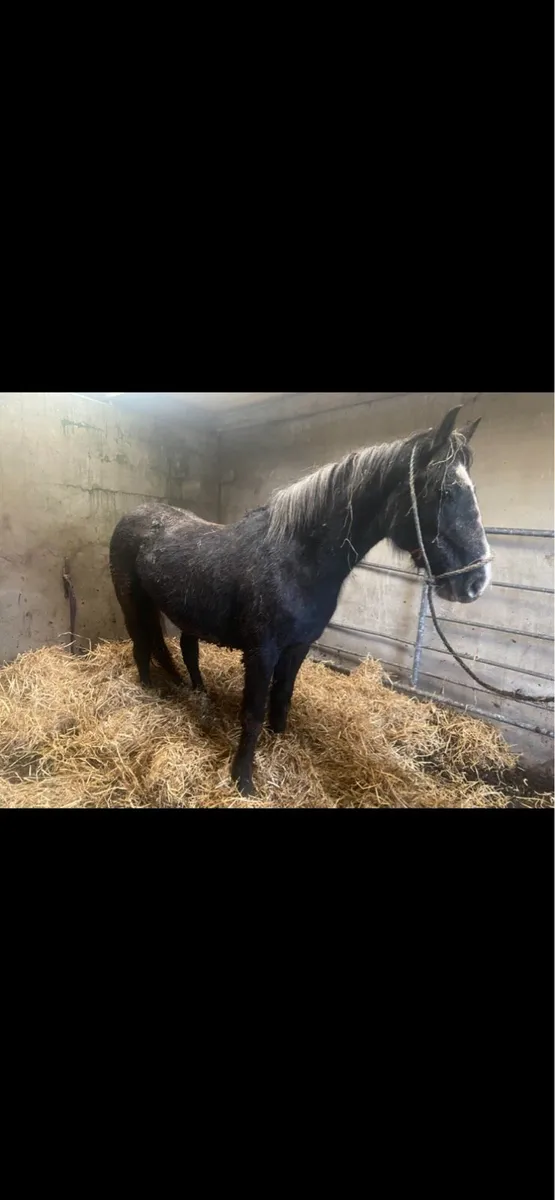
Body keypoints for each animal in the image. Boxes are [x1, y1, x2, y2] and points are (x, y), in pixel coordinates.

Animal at [109, 404, 491, 795]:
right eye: (443, 491)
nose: (476, 582)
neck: (296, 560)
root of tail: (135, 515)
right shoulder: (262, 652)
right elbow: (253, 712)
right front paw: (243, 780)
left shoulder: (298, 647)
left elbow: (282, 697)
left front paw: (279, 743)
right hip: (131, 602)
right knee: (142, 645)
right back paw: (148, 691)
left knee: (187, 649)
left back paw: (199, 693)